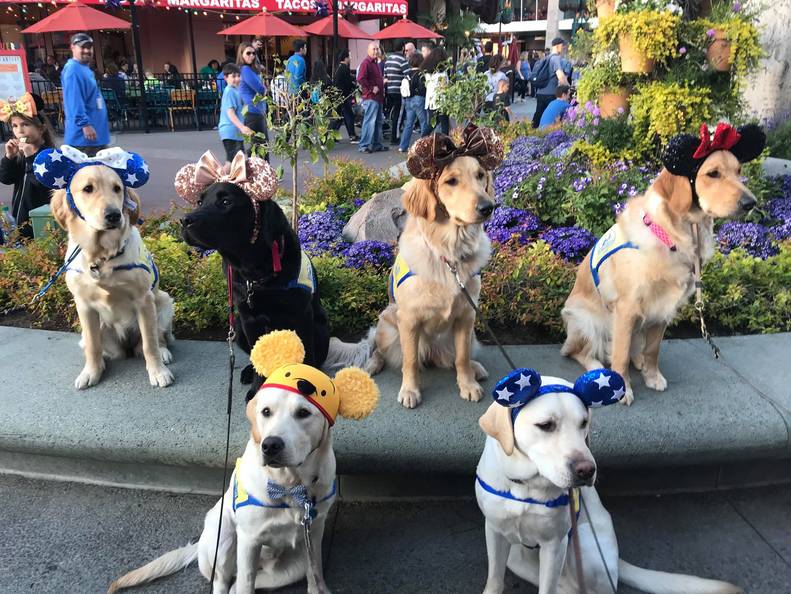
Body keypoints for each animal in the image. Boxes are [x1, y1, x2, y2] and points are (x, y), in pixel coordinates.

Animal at [34, 145, 175, 388]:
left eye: (117, 188)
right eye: (88, 189)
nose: (113, 215)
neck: (101, 256)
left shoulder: (144, 299)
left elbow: (150, 343)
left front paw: (158, 372)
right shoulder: (83, 305)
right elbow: (93, 346)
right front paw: (91, 372)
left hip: (163, 301)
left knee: (156, 337)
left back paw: (163, 352)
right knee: (101, 347)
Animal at [110, 328, 380, 592]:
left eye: (303, 412)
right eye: (266, 412)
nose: (270, 445)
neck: (289, 485)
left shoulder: (314, 532)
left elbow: (316, 578)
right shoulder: (249, 540)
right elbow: (245, 583)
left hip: (291, 567)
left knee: (238, 584)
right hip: (223, 538)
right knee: (224, 582)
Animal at [364, 126, 504, 408]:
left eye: (480, 175)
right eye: (451, 181)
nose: (488, 207)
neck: (449, 254)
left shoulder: (466, 316)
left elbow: (461, 357)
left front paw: (467, 384)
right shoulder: (408, 320)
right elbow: (409, 361)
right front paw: (410, 390)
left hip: (468, 335)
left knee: (454, 357)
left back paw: (475, 368)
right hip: (387, 323)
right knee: (383, 351)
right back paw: (373, 364)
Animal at [476, 366, 744, 592]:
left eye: (584, 423)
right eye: (546, 425)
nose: (586, 470)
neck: (525, 486)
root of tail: (615, 559)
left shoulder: (555, 544)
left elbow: (547, 587)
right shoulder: (494, 531)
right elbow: (494, 579)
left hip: (586, 547)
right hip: (518, 558)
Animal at [560, 122, 764, 404]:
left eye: (738, 171)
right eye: (713, 174)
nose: (750, 203)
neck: (675, 235)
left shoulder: (663, 309)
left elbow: (653, 350)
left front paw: (652, 375)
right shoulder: (626, 308)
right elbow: (620, 353)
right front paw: (622, 388)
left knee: (633, 350)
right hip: (587, 320)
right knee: (578, 351)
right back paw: (598, 367)